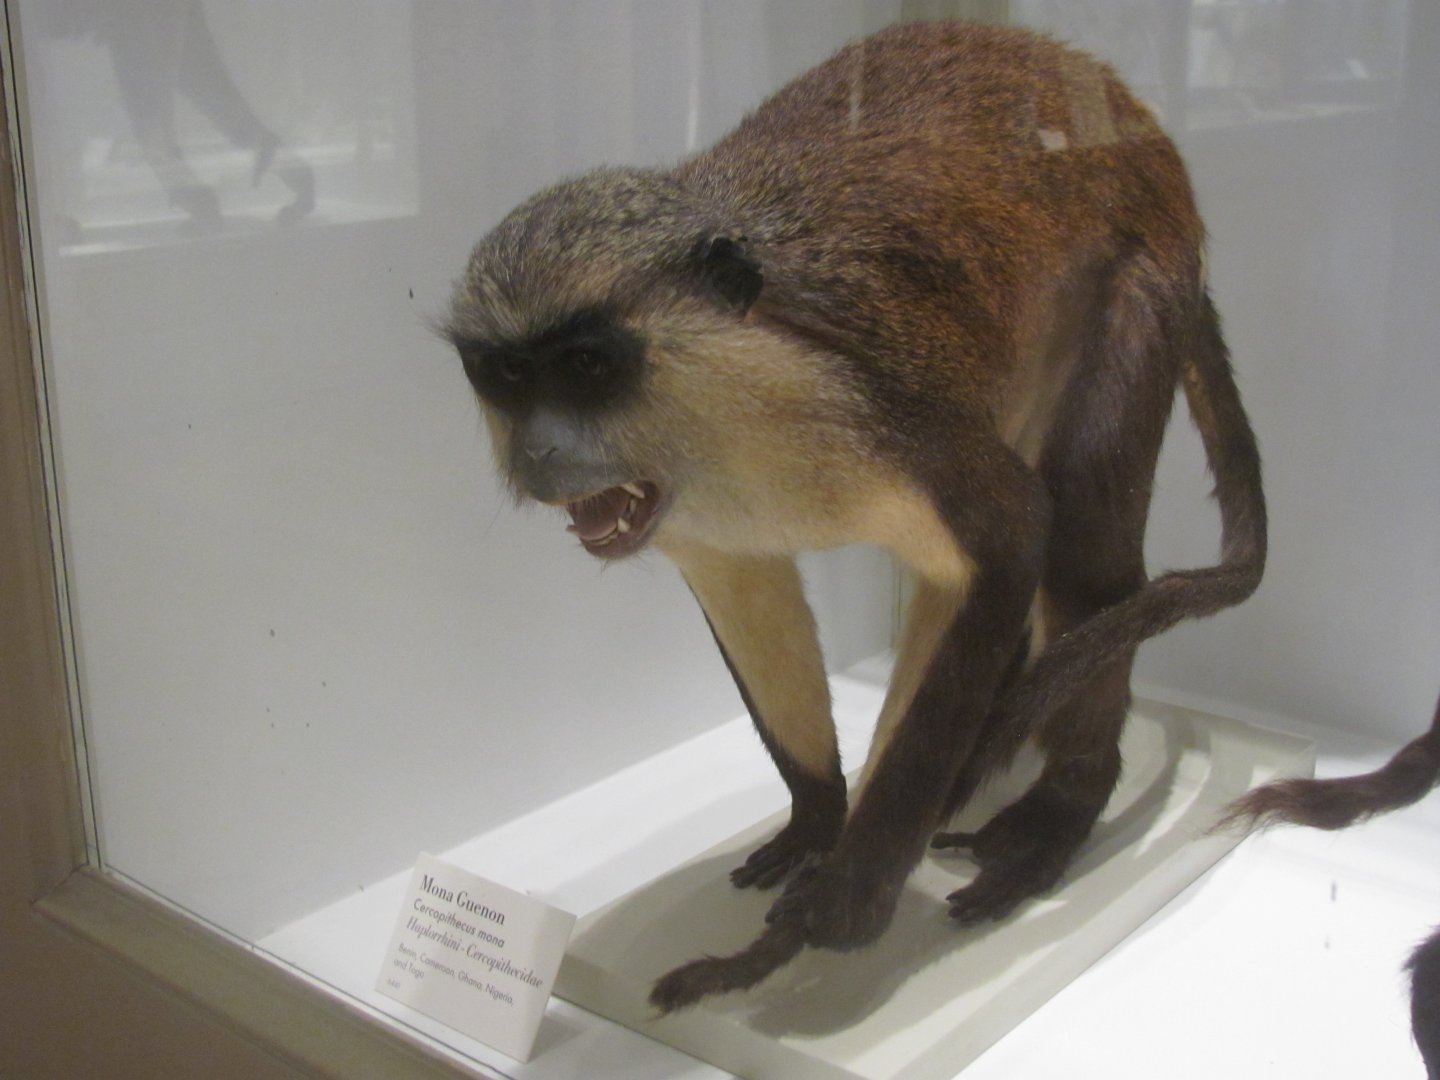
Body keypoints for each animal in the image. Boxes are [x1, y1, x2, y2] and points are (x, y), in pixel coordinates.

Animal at [444, 21, 1271, 1012]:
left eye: (588, 365)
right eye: (509, 374)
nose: (538, 451)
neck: (724, 403)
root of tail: (1138, 123)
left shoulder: (879, 409)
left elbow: (1012, 537)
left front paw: (843, 902)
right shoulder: (703, 525)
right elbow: (744, 589)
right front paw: (818, 822)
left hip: (1140, 278)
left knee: (1084, 551)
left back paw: (1066, 803)